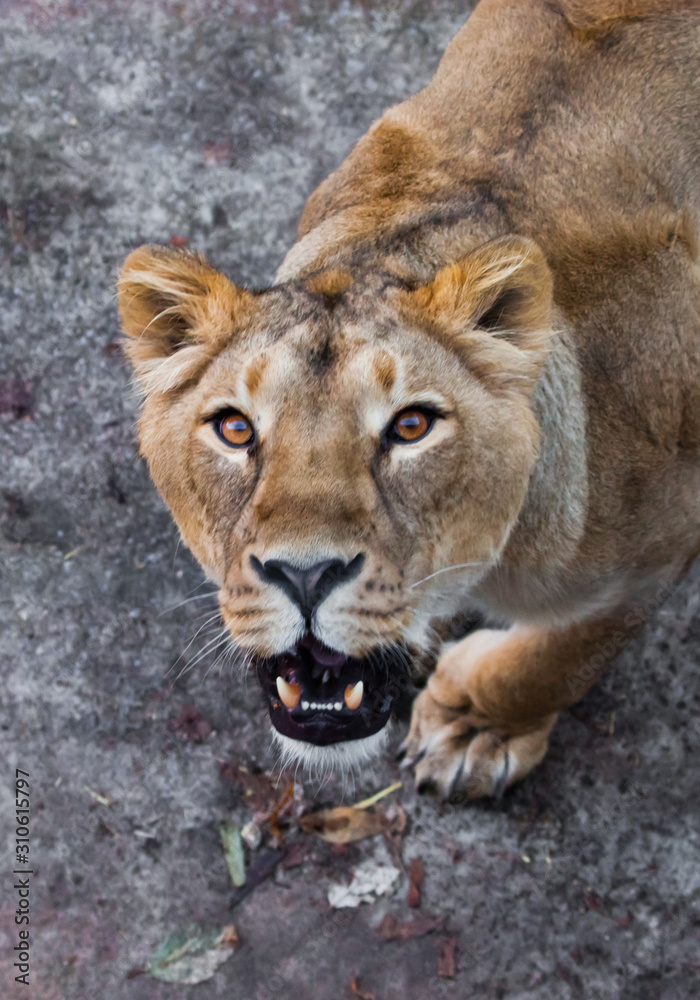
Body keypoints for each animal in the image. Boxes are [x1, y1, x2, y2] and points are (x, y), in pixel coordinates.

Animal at [117, 0, 700, 798]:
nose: (305, 575)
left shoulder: (656, 551)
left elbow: (555, 660)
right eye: (235, 430)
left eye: (412, 426)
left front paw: (476, 729)